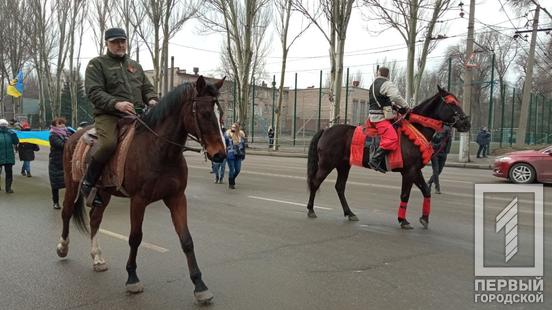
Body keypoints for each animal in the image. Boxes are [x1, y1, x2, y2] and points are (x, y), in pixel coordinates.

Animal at [56, 76, 226, 304]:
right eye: (205, 113)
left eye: (220, 113)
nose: (220, 155)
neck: (160, 150)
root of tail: (76, 135)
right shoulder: (138, 200)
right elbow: (135, 237)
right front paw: (132, 278)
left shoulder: (177, 198)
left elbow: (186, 240)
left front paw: (200, 285)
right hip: (72, 185)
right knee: (66, 213)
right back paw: (63, 247)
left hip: (104, 193)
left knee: (95, 219)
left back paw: (97, 257)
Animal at [306, 86, 470, 229]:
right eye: (452, 103)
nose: (467, 123)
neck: (415, 131)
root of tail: (326, 130)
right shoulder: (409, 172)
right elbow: (405, 195)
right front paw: (403, 220)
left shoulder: (416, 171)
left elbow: (426, 191)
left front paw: (424, 218)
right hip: (327, 164)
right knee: (315, 182)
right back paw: (311, 210)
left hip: (343, 165)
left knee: (339, 187)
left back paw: (349, 213)